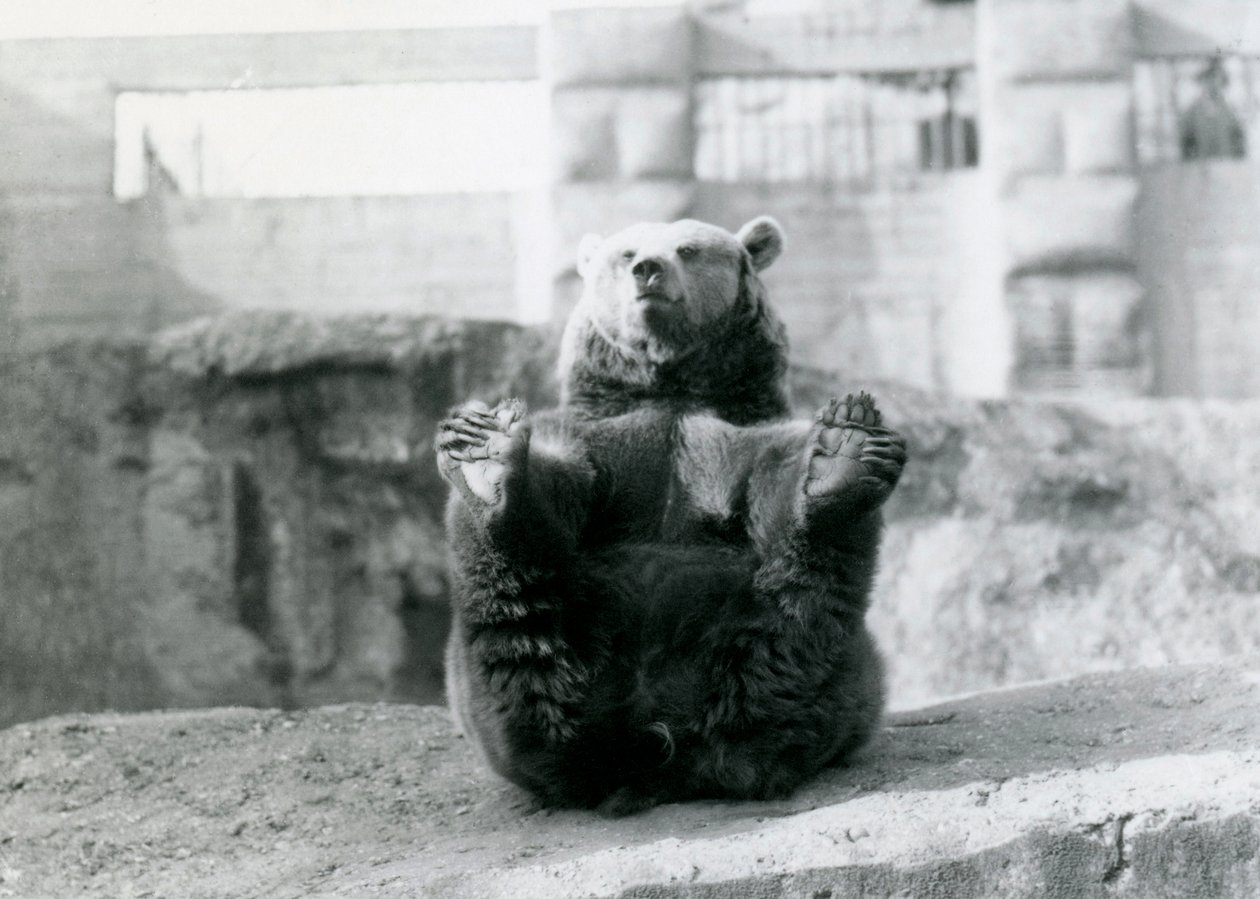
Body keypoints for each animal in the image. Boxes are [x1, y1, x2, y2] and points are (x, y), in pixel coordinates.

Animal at [438, 215, 902, 812]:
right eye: (626, 252)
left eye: (688, 248)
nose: (648, 270)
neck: (669, 390)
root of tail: (651, 743)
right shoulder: (601, 441)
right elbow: (563, 485)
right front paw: (489, 447)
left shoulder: (735, 440)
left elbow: (775, 481)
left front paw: (838, 451)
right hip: (513, 666)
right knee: (520, 622)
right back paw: (482, 459)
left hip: (809, 657)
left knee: (801, 603)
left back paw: (849, 454)